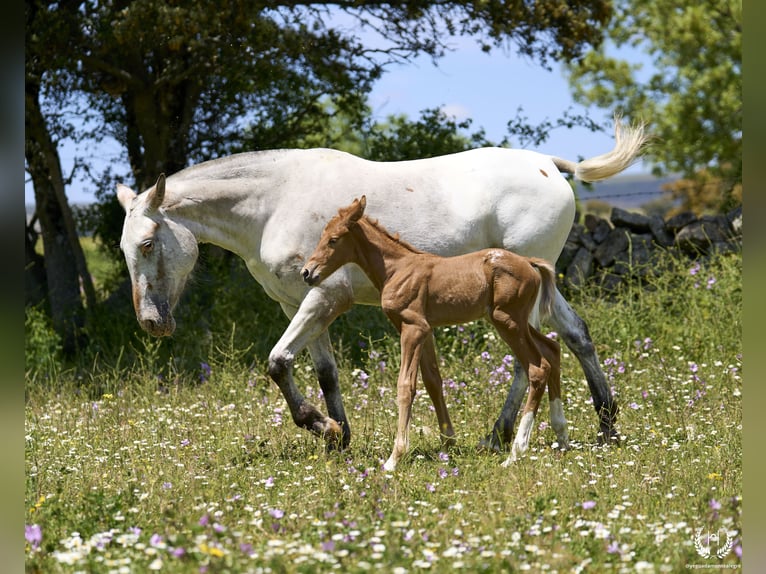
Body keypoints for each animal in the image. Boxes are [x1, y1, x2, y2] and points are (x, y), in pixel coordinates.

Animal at [304, 198, 568, 472]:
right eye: (322, 236)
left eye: (333, 240)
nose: (307, 272)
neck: (396, 269)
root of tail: (529, 262)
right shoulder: (425, 330)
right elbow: (433, 380)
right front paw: (448, 443)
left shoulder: (413, 328)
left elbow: (406, 385)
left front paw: (394, 458)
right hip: (517, 321)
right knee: (552, 349)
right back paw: (561, 438)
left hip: (507, 321)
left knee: (537, 367)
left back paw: (516, 452)